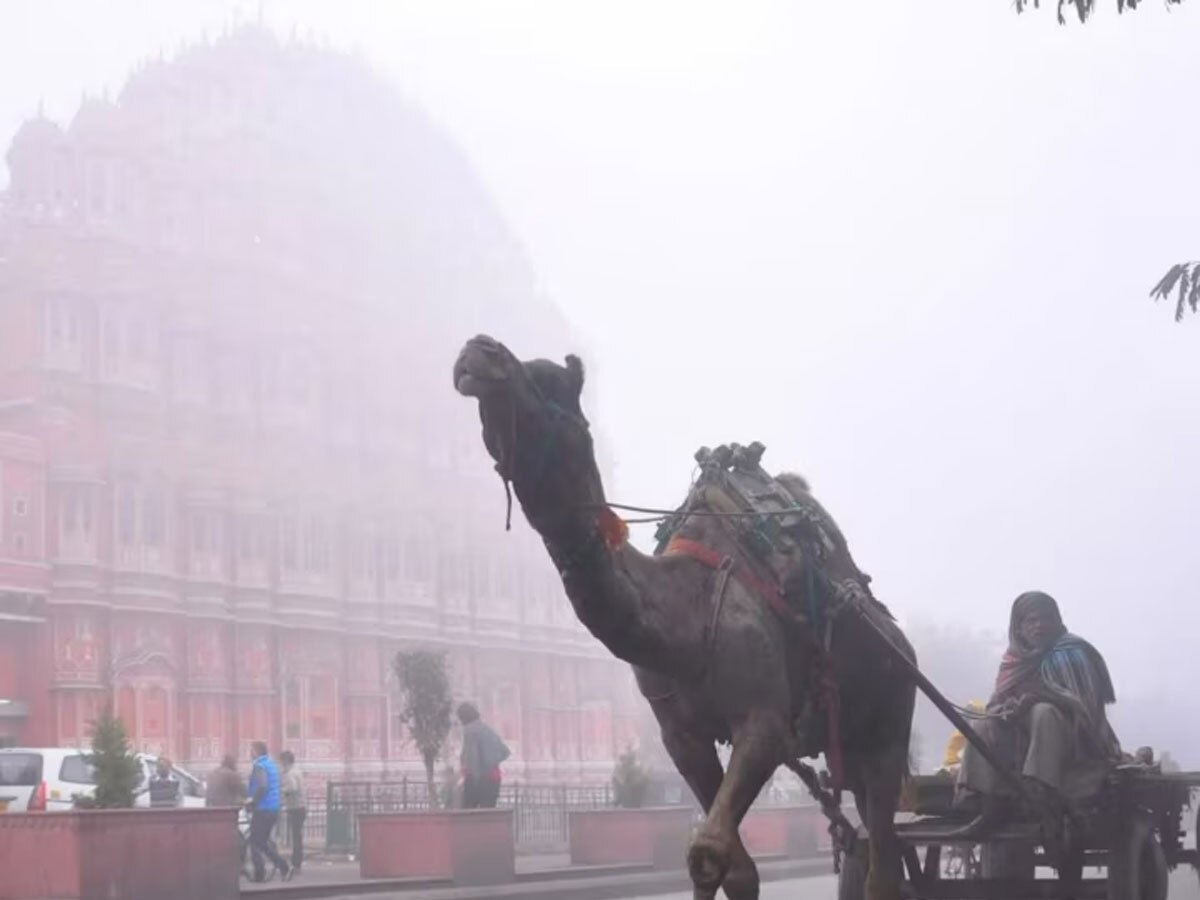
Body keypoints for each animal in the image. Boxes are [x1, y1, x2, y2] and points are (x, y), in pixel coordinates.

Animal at [453, 336, 912, 900]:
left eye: (546, 380)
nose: (480, 349)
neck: (685, 616)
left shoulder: (763, 723)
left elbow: (708, 849)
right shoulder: (682, 737)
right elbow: (734, 867)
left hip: (891, 720)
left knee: (883, 854)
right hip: (846, 738)